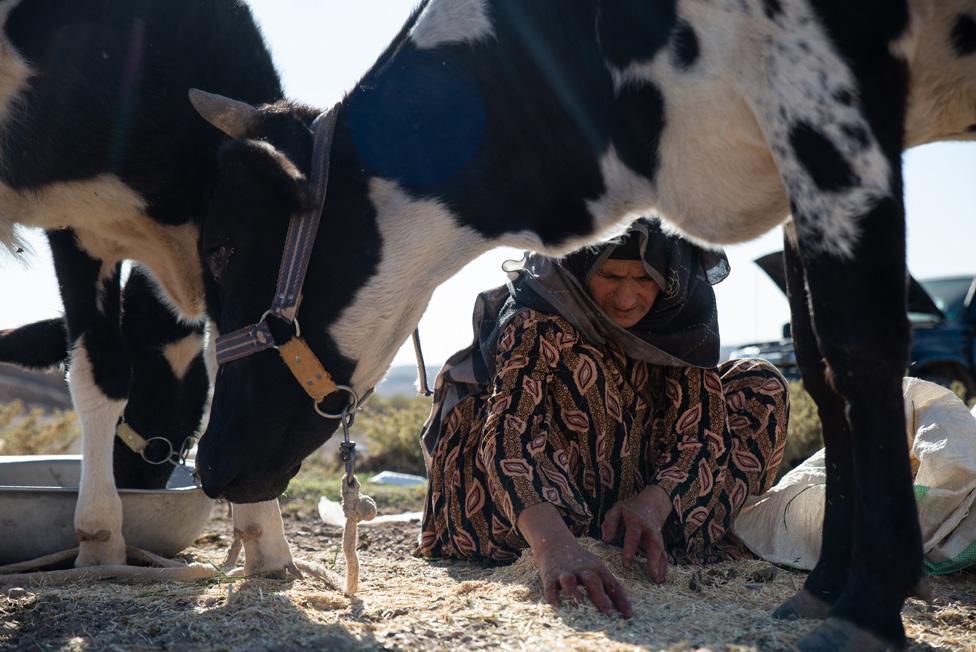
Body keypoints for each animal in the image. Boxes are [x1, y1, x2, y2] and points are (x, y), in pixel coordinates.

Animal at [189, 2, 976, 648]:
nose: (210, 462)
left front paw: (867, 604)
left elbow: (857, 347)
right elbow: (816, 358)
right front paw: (825, 586)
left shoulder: (829, 95)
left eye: (222, 245)